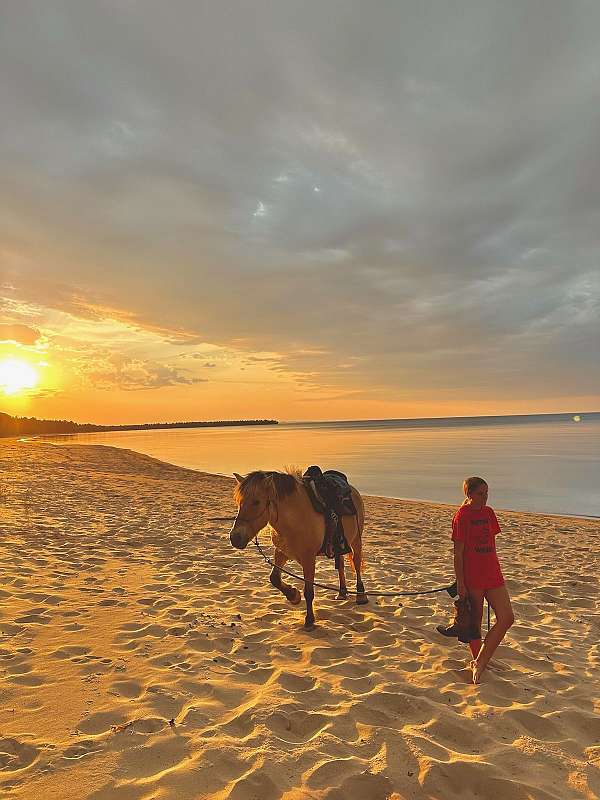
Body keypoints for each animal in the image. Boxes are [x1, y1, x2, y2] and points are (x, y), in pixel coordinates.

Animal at [230, 468, 368, 632]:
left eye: (256, 502)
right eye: (239, 502)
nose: (235, 538)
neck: (295, 517)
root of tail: (353, 491)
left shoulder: (309, 559)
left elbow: (308, 591)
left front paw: (309, 620)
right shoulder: (281, 552)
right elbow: (274, 578)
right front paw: (293, 596)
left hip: (356, 540)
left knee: (357, 564)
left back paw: (361, 595)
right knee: (340, 564)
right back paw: (341, 592)